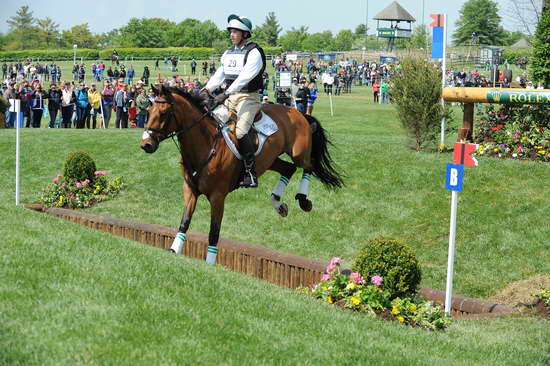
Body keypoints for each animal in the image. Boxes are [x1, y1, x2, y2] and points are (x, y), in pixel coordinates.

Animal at [139, 85, 344, 264]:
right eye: (148, 112)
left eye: (163, 113)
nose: (146, 144)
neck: (206, 144)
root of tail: (298, 112)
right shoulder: (190, 190)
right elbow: (184, 222)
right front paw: (174, 249)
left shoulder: (218, 196)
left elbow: (214, 232)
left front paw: (210, 263)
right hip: (269, 160)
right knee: (288, 169)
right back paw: (278, 203)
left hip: (299, 153)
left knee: (308, 166)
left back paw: (303, 199)